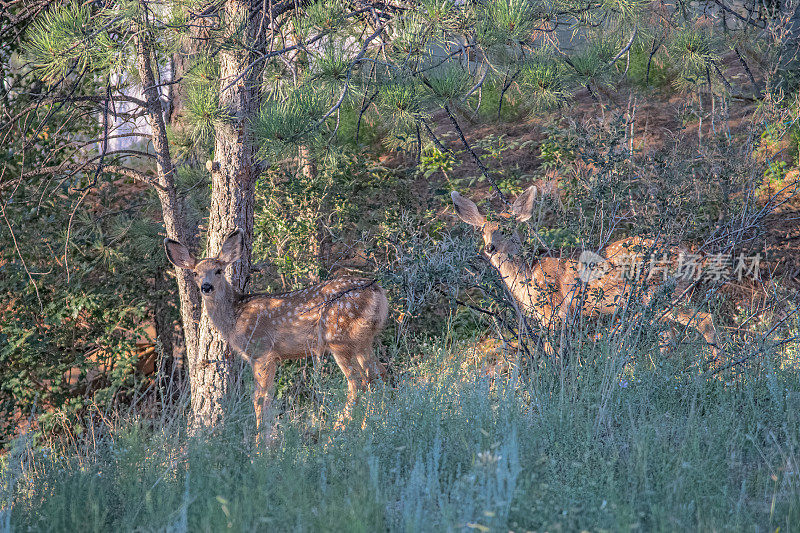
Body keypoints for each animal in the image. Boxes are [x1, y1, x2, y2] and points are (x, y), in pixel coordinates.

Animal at [164, 229, 390, 432]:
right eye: (195, 273)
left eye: (219, 271)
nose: (206, 287)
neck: (235, 317)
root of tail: (377, 291)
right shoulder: (270, 356)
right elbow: (268, 397)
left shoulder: (261, 350)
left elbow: (260, 398)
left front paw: (261, 443)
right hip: (362, 339)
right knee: (378, 374)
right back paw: (373, 423)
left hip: (339, 338)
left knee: (357, 381)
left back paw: (337, 431)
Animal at [454, 184, 720, 362]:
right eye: (483, 231)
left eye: (507, 228)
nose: (490, 247)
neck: (527, 276)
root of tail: (687, 250)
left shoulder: (554, 313)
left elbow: (555, 351)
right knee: (670, 334)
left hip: (660, 291)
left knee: (703, 319)